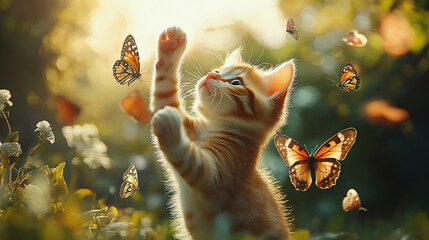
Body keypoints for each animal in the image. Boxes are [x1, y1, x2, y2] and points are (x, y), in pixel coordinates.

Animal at [150, 26, 294, 240]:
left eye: (236, 82)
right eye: (218, 71)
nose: (210, 75)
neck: (212, 126)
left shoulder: (220, 173)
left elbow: (193, 161)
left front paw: (170, 128)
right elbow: (164, 97)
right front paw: (170, 47)